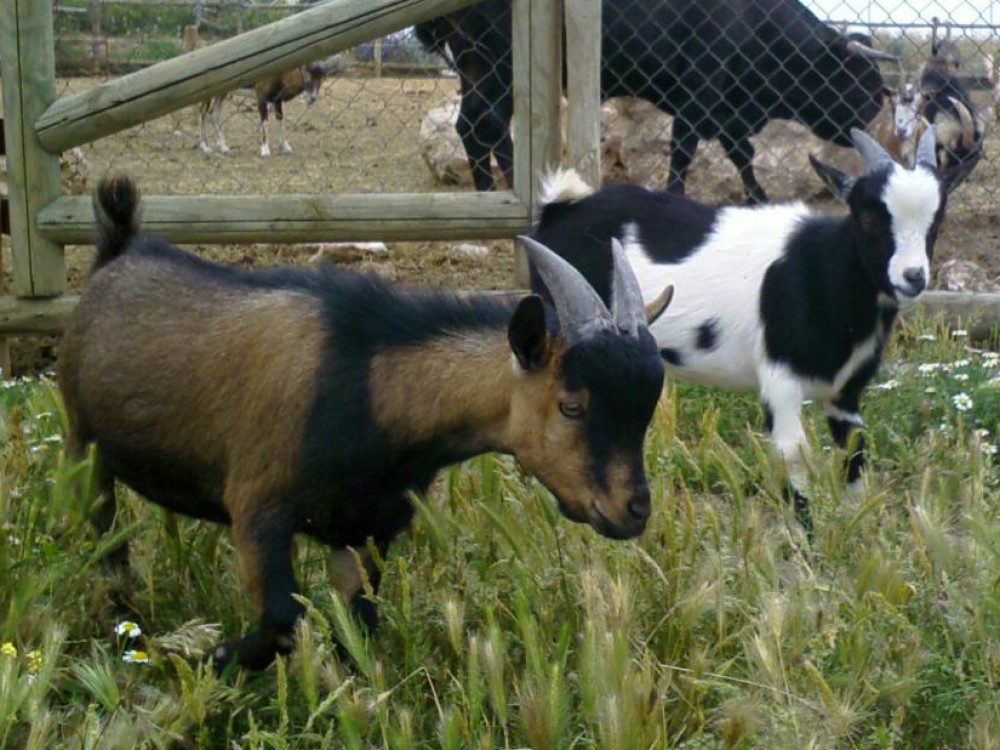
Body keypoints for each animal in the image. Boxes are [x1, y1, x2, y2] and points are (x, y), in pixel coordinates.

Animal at [59, 175, 670, 671]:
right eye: (572, 405)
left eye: (646, 409)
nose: (634, 509)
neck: (371, 384)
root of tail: (117, 251)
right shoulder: (258, 508)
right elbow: (283, 623)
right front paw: (194, 656)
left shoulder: (363, 528)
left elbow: (355, 628)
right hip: (82, 442)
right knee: (103, 534)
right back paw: (124, 619)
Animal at [197, 63, 326, 157]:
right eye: (307, 72)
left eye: (321, 78)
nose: (313, 97)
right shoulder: (261, 97)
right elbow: (265, 122)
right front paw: (265, 150)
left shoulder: (277, 101)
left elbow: (280, 120)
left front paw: (285, 147)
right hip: (208, 94)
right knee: (203, 112)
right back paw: (205, 147)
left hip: (222, 93)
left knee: (213, 113)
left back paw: (223, 147)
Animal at [532, 126, 958, 535]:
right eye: (868, 218)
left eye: (936, 221)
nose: (914, 277)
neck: (822, 270)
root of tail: (560, 209)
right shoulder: (780, 380)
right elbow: (793, 454)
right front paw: (806, 546)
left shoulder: (846, 391)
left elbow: (854, 451)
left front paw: (856, 532)